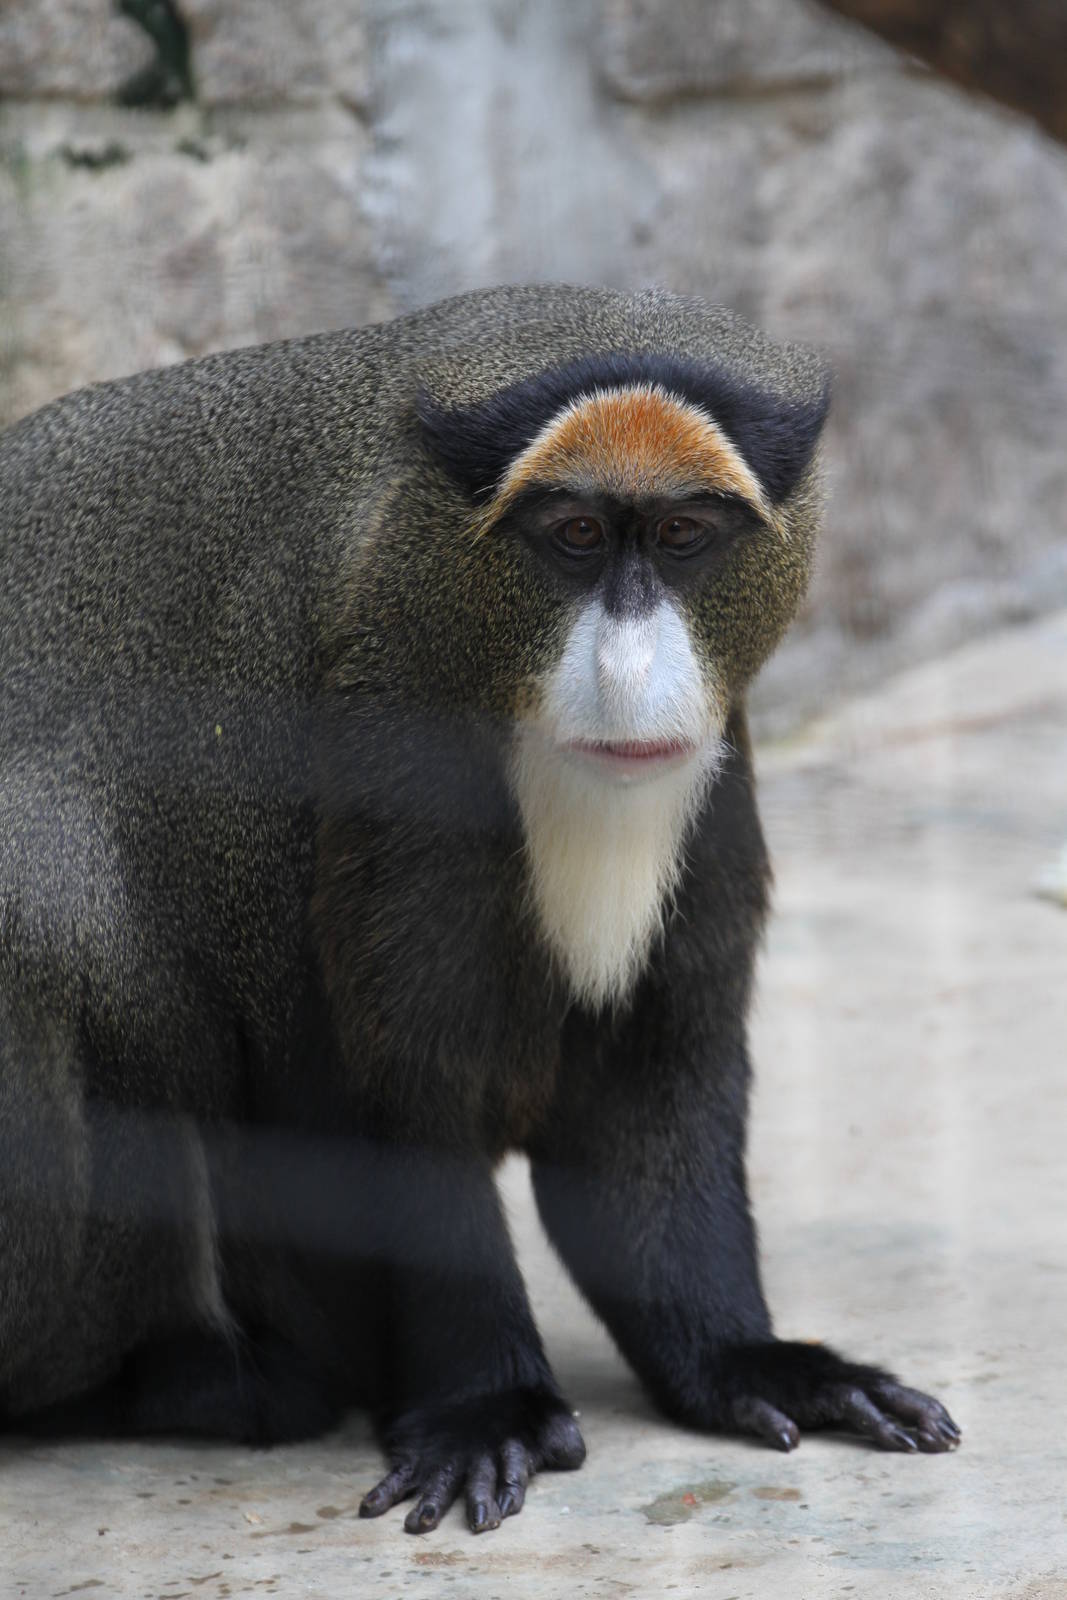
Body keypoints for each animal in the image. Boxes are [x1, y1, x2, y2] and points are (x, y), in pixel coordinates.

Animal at [0, 284, 960, 1536]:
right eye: (575, 537)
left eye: (683, 536)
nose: (628, 667)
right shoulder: (373, 730)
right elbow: (383, 1106)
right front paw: (481, 1406)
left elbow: (645, 1084)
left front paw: (748, 1361)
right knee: (39, 888)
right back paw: (184, 1383)